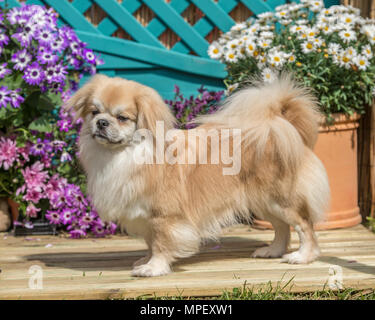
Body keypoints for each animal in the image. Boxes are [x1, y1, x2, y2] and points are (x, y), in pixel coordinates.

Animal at [66, 74, 330, 276]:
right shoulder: (148, 217)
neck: (124, 154)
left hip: (281, 199)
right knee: (282, 228)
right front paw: (146, 261)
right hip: (262, 201)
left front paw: (153, 268)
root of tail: (278, 125)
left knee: (304, 226)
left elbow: (160, 244)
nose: (102, 123)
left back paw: (302, 257)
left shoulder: (164, 216)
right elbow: (150, 243)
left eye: (122, 118)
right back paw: (272, 251)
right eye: (94, 112)